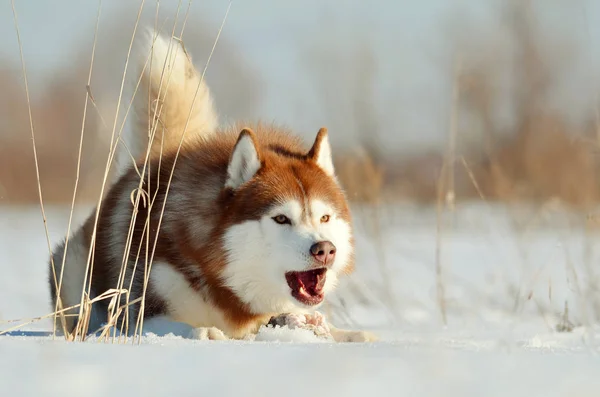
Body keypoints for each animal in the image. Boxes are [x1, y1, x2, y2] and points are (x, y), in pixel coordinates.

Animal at [48, 30, 376, 340]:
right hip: (72, 271)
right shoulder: (139, 307)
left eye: (325, 217)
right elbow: (178, 326)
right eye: (281, 218)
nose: (325, 249)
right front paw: (204, 332)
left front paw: (357, 334)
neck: (223, 276)